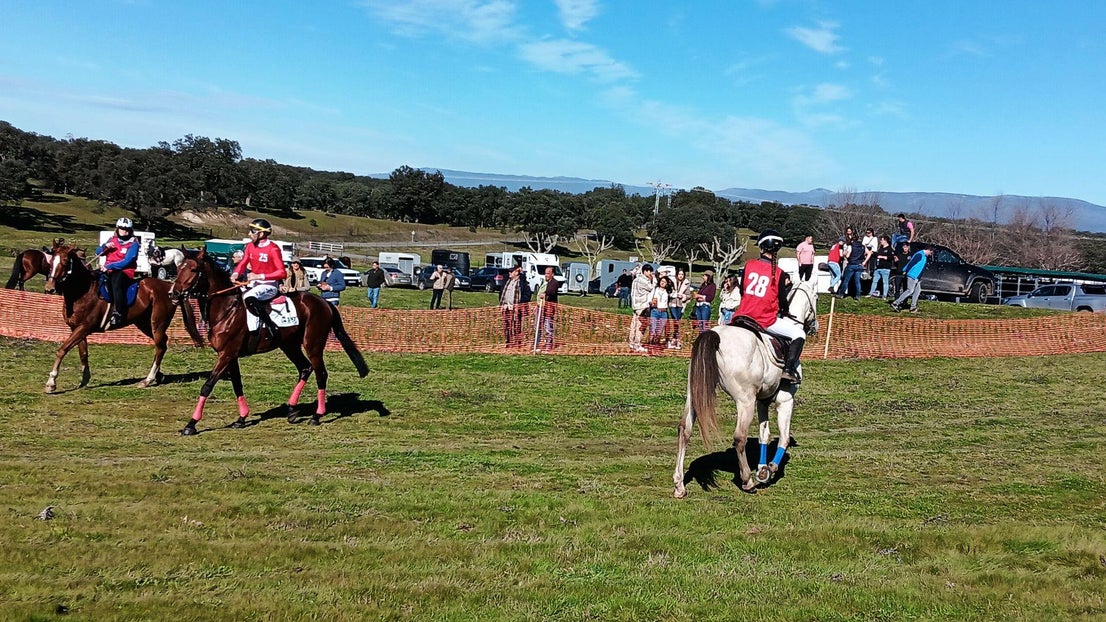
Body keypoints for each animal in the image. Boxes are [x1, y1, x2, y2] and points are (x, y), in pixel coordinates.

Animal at [41, 244, 204, 393]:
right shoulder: (76, 328)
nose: (50, 288)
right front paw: (85, 379)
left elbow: (62, 350)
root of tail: (171, 288)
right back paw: (158, 375)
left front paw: (51, 383)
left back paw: (149, 379)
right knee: (162, 344)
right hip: (144, 324)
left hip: (157, 324)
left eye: (64, 262)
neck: (83, 291)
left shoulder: (84, 328)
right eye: (50, 262)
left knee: (160, 346)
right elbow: (83, 353)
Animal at [168, 250, 369, 435]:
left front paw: (191, 424)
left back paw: (317, 415)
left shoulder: (226, 354)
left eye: (193, 269)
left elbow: (207, 386)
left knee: (321, 374)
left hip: (313, 345)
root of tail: (324, 303)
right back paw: (292, 410)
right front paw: (241, 418)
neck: (227, 310)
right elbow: (237, 384)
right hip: (289, 345)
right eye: (178, 268)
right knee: (305, 368)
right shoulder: (230, 356)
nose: (173, 293)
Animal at [673, 279, 819, 497]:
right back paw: (747, 481)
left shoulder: (763, 401)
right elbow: (783, 438)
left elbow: (764, 435)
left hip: (694, 396)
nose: (814, 326)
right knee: (739, 437)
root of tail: (714, 334)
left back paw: (679, 485)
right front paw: (770, 469)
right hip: (745, 401)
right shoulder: (785, 400)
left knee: (685, 430)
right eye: (816, 296)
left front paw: (762, 468)